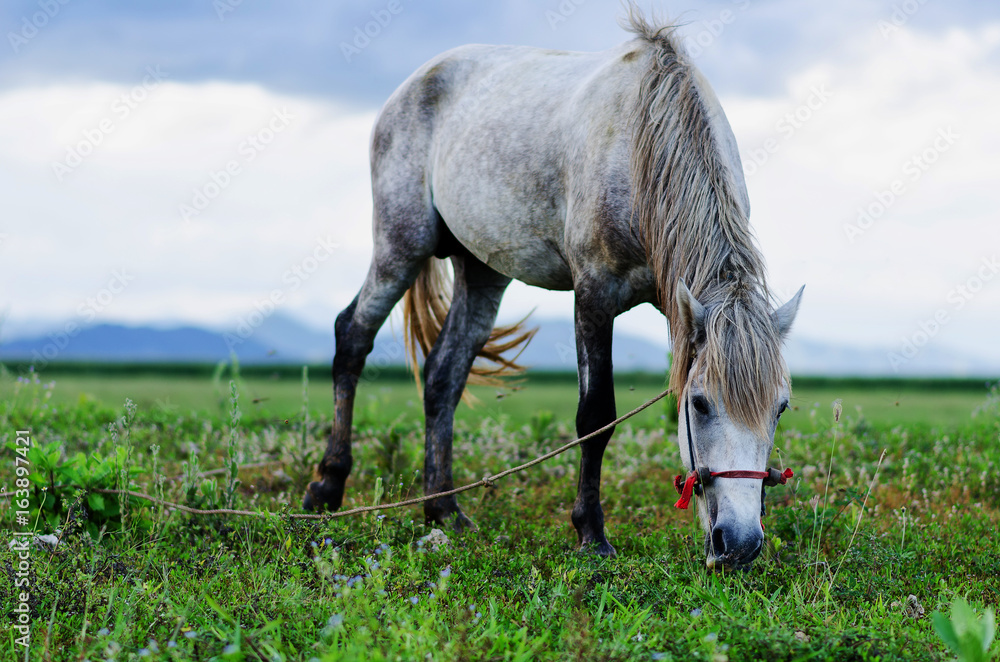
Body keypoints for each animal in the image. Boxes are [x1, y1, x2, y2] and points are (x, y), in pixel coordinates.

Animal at [304, 10, 804, 572]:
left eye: (780, 407)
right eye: (699, 404)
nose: (738, 544)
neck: (642, 140)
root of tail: (413, 82)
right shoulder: (594, 295)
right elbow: (596, 417)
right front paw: (591, 533)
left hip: (481, 270)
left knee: (442, 376)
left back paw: (443, 509)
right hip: (400, 246)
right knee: (352, 337)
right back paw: (327, 487)